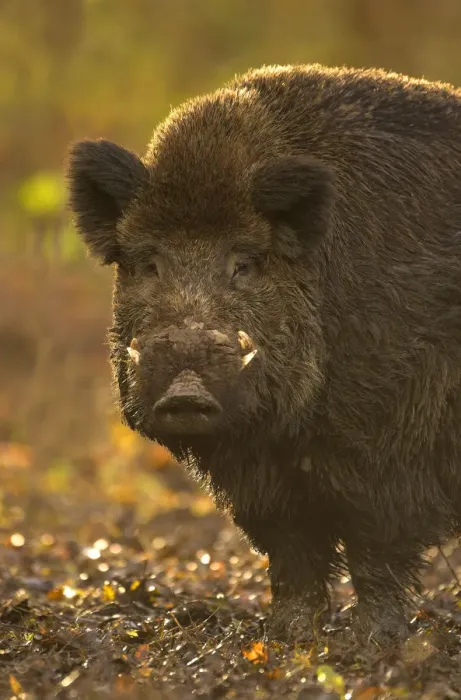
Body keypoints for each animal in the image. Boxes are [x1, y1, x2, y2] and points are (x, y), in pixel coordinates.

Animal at [65, 63, 461, 646]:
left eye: (244, 264)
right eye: (150, 263)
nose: (185, 391)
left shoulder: (392, 435)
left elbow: (376, 549)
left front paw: (375, 642)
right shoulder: (261, 476)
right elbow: (291, 551)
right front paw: (288, 636)